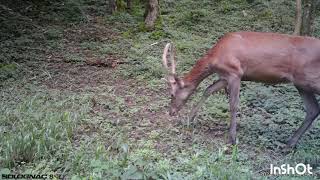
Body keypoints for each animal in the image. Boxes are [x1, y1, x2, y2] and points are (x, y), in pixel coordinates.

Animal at [162, 31, 320, 148]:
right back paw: (289, 144)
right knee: (313, 109)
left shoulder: (235, 73)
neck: (214, 59)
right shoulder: (225, 76)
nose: (171, 112)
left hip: (309, 78)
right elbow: (208, 89)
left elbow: (233, 105)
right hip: (301, 84)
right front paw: (189, 119)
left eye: (172, 94)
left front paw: (232, 138)